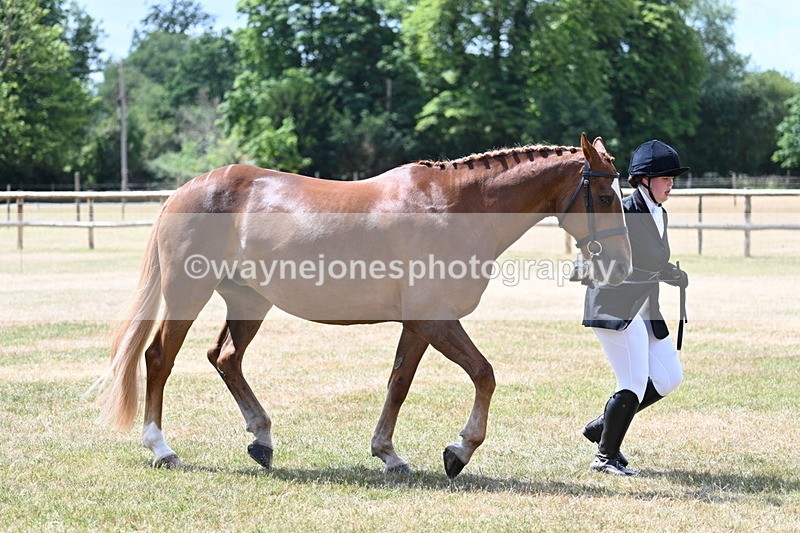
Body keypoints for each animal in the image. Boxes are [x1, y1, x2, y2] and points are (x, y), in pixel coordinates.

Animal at [94, 133, 631, 479]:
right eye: (606, 196)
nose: (624, 260)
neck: (453, 208)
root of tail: (184, 190)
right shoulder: (436, 320)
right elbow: (484, 374)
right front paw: (459, 451)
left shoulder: (418, 325)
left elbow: (398, 384)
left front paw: (389, 454)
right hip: (188, 292)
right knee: (159, 358)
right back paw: (161, 448)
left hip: (248, 301)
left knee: (225, 357)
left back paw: (262, 439)